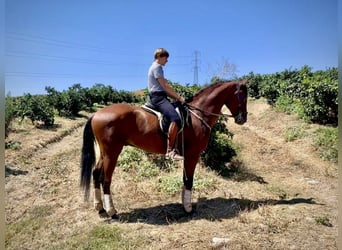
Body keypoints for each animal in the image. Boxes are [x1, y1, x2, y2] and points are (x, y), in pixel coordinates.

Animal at [80, 80, 247, 221]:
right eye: (242, 97)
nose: (243, 119)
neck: (198, 115)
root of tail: (96, 114)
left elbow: (185, 179)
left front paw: (184, 204)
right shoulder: (192, 155)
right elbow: (189, 180)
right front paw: (188, 208)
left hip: (104, 153)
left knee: (96, 173)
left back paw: (100, 209)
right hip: (112, 152)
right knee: (106, 179)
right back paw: (112, 212)